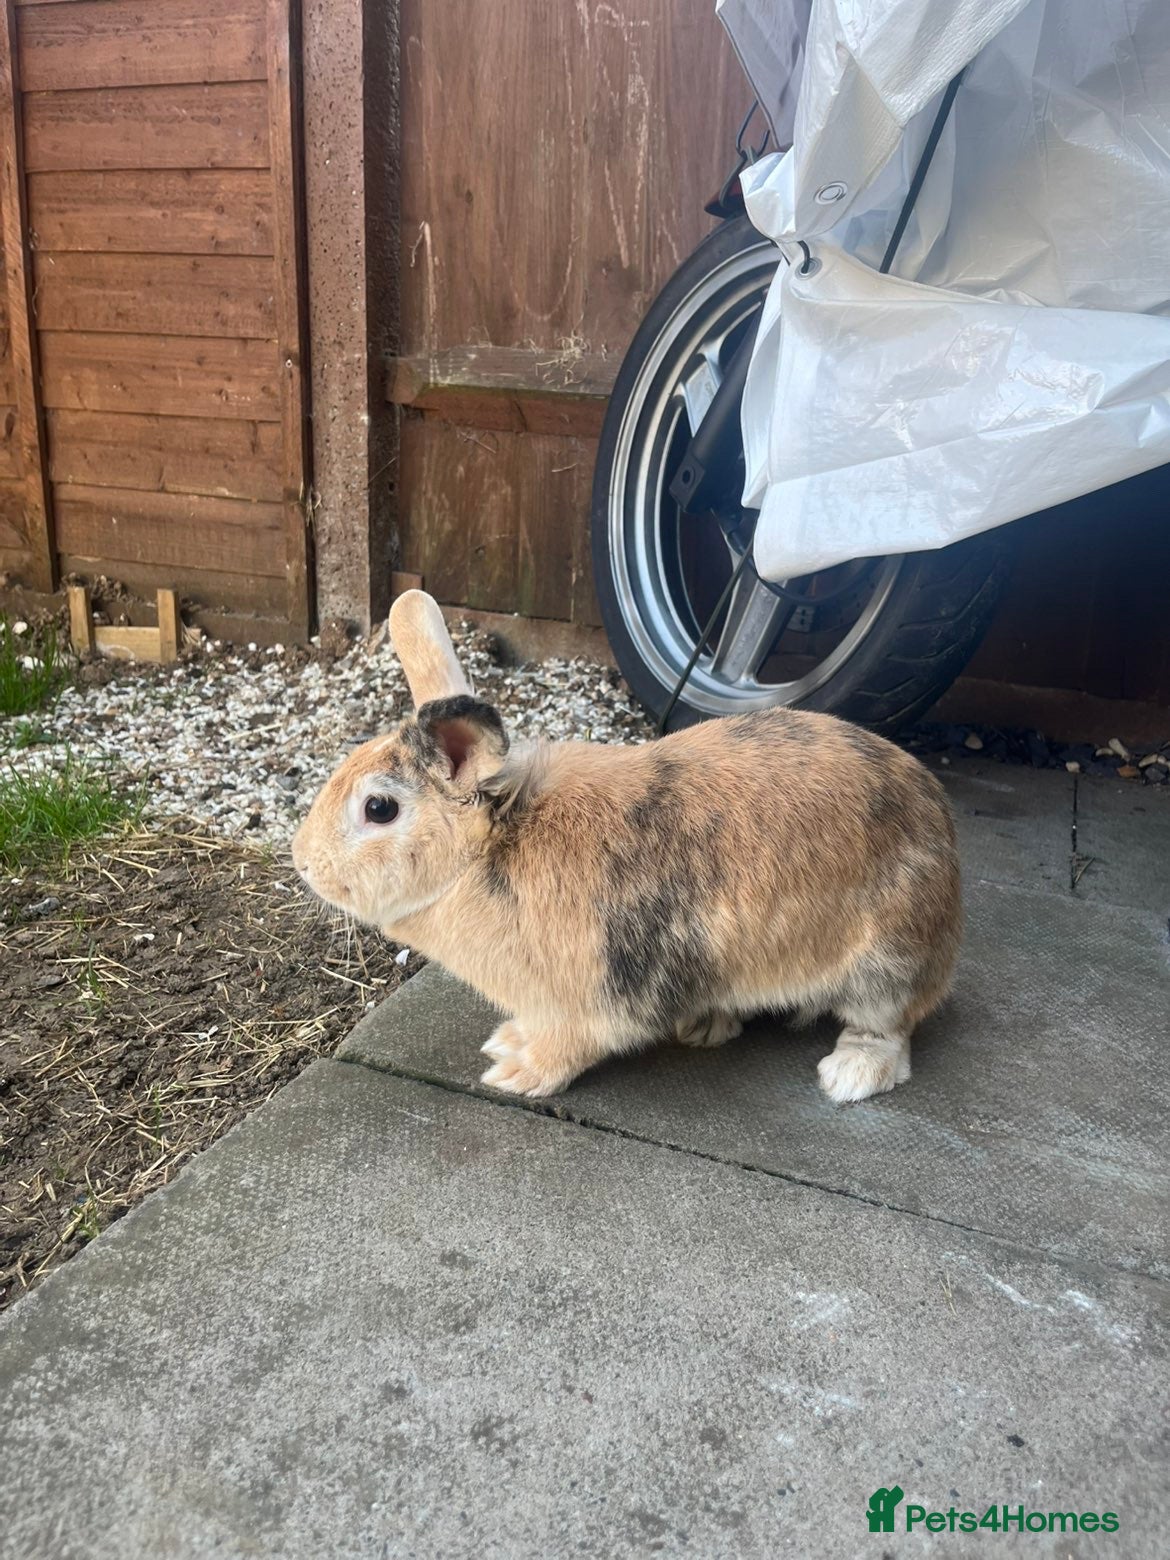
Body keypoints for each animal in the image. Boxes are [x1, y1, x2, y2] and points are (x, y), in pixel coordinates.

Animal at [292, 590, 961, 1104]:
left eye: (379, 809)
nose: (302, 862)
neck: (492, 851)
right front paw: (507, 1040)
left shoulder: (586, 1002)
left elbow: (569, 1047)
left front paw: (514, 1072)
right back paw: (706, 1024)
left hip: (885, 961)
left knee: (888, 1028)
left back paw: (848, 1075)